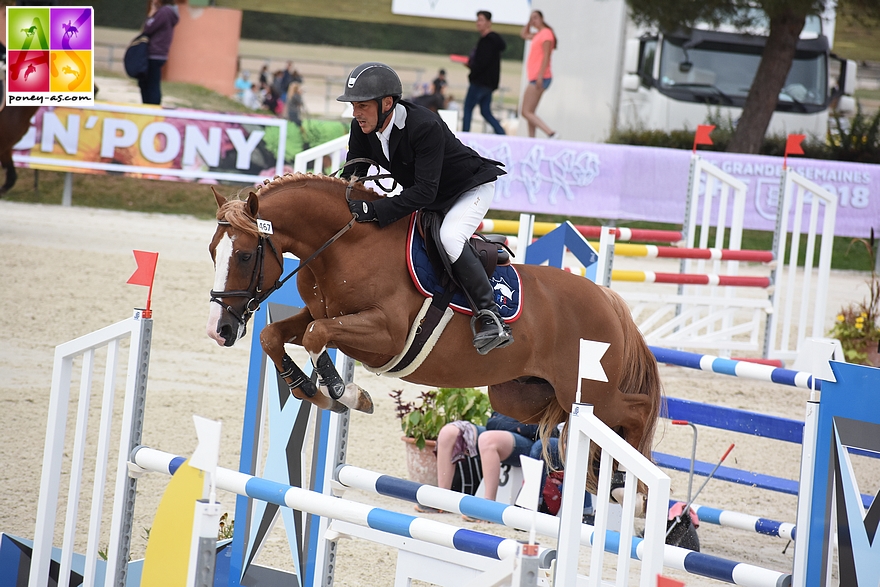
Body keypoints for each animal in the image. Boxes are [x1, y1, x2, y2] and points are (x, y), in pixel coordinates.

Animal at [206, 173, 660, 486]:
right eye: (213, 251)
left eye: (244, 256)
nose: (219, 330)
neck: (344, 246)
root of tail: (608, 300)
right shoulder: (322, 315)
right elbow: (276, 335)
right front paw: (308, 388)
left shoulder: (384, 334)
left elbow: (318, 335)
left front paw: (344, 392)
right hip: (523, 396)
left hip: (589, 392)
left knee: (636, 410)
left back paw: (626, 486)